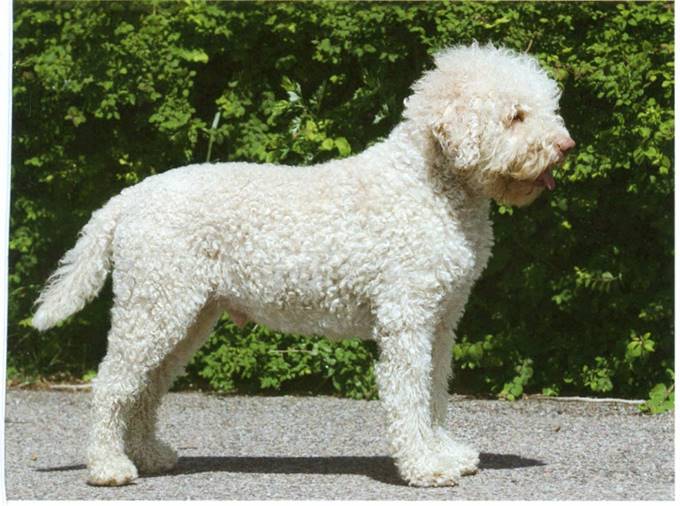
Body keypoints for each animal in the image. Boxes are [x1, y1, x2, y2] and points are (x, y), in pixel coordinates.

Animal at [31, 45, 572, 488]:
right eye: (516, 116)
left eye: (546, 106)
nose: (565, 146)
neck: (427, 184)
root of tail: (127, 199)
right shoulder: (407, 319)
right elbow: (410, 393)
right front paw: (424, 467)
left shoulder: (442, 319)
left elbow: (435, 391)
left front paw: (446, 453)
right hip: (154, 306)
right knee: (112, 384)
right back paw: (109, 466)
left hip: (184, 314)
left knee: (147, 386)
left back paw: (149, 455)